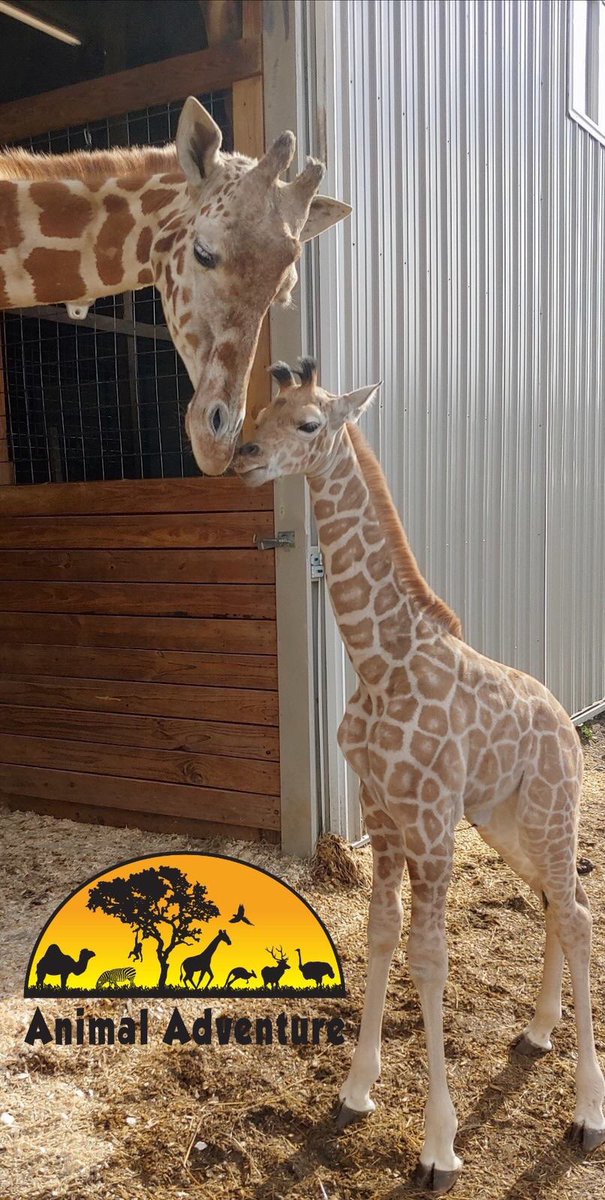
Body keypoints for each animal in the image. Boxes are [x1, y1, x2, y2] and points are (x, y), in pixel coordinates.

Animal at [234, 358, 605, 1192]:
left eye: (308, 422)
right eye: (259, 410)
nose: (242, 456)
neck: (380, 660)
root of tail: (564, 722)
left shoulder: (430, 823)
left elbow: (429, 961)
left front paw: (438, 1149)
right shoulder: (380, 813)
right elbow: (380, 935)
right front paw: (353, 1093)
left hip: (550, 809)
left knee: (576, 914)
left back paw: (587, 1115)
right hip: (501, 823)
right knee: (555, 903)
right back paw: (536, 1032)